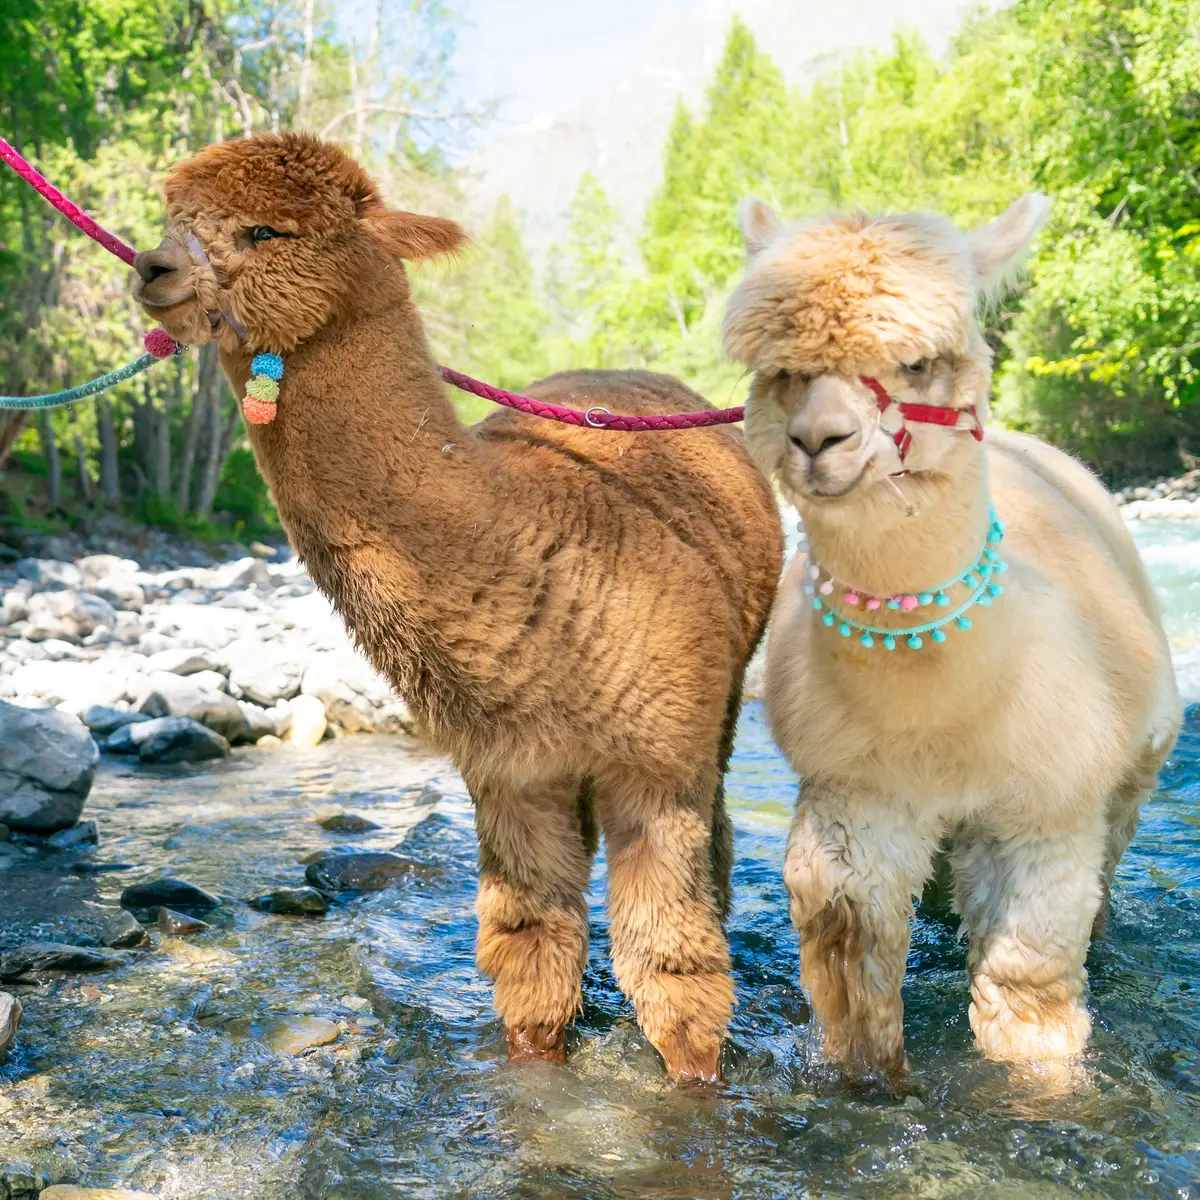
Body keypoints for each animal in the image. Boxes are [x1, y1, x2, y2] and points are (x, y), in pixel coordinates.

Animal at [130, 133, 783, 1082]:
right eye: (172, 217)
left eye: (263, 230)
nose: (152, 268)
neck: (528, 537)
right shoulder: (510, 772)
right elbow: (532, 953)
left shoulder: (656, 764)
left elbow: (673, 972)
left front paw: (695, 1086)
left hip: (718, 705)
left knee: (718, 834)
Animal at [722, 193, 1180, 1077]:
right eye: (783, 371)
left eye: (918, 362)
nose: (819, 440)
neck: (943, 720)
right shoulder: (857, 799)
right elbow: (853, 971)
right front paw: (872, 1086)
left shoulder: (1047, 810)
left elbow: (1028, 985)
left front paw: (1043, 1086)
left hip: (1131, 771)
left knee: (1106, 869)